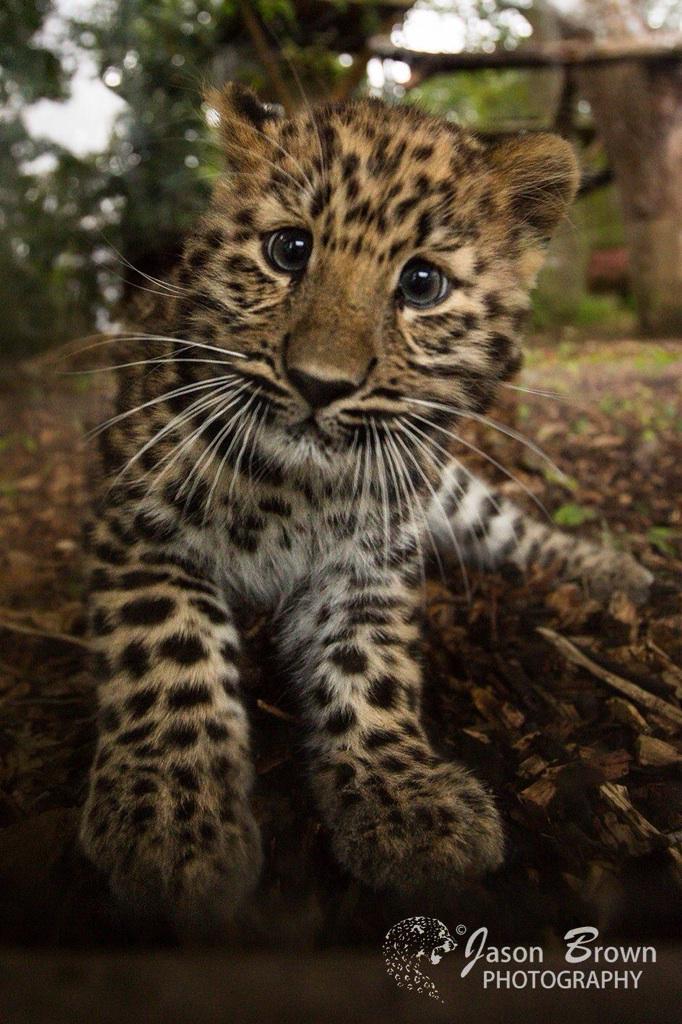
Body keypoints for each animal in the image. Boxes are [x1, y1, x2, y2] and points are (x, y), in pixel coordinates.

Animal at [79, 83, 653, 936]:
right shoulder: (138, 527)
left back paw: (622, 572)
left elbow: (372, 666)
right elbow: (170, 653)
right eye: (289, 249)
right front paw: (173, 820)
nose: (321, 383)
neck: (293, 489)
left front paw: (405, 797)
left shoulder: (369, 566)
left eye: (421, 284)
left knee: (514, 529)